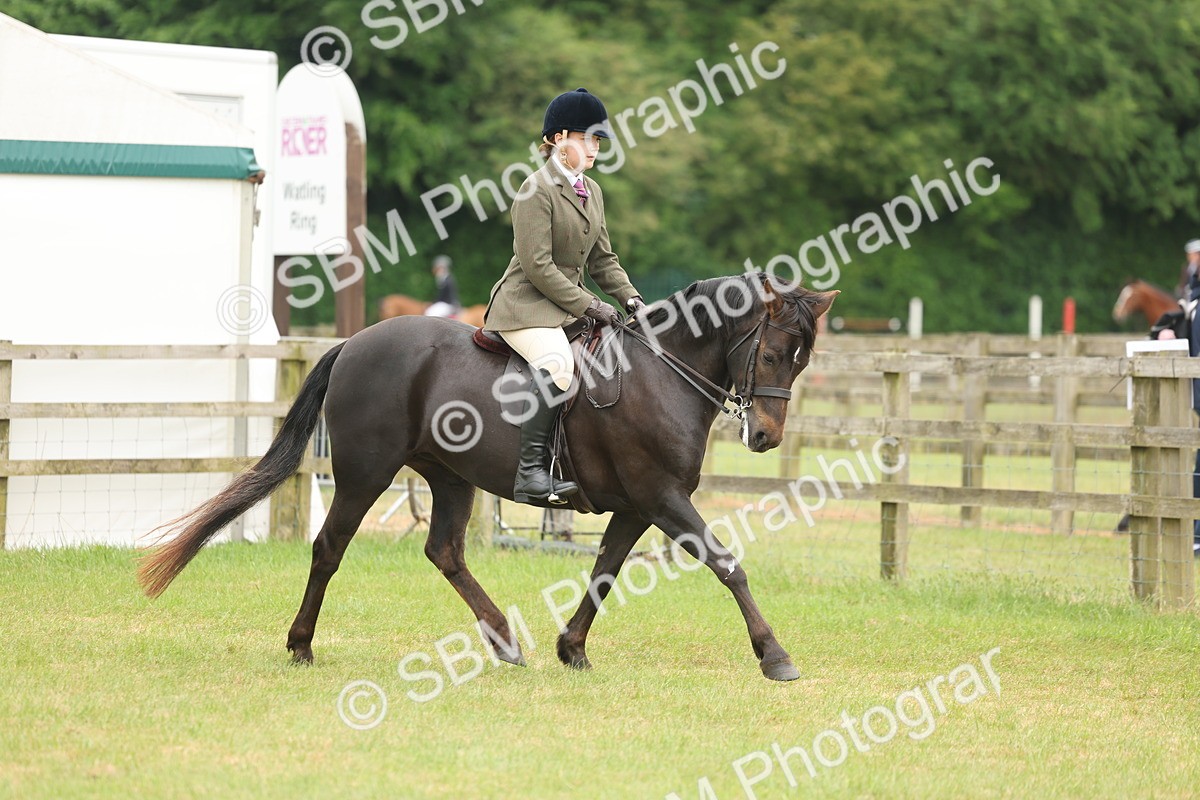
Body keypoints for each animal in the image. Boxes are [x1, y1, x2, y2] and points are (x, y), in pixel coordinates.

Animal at [138, 274, 838, 682]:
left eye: (803, 361)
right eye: (772, 353)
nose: (766, 438)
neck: (660, 373)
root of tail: (356, 342)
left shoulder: (639, 505)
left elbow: (604, 570)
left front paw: (571, 649)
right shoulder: (661, 497)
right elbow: (728, 565)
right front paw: (775, 657)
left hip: (450, 477)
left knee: (444, 551)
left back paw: (505, 642)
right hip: (366, 474)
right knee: (329, 548)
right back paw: (301, 645)